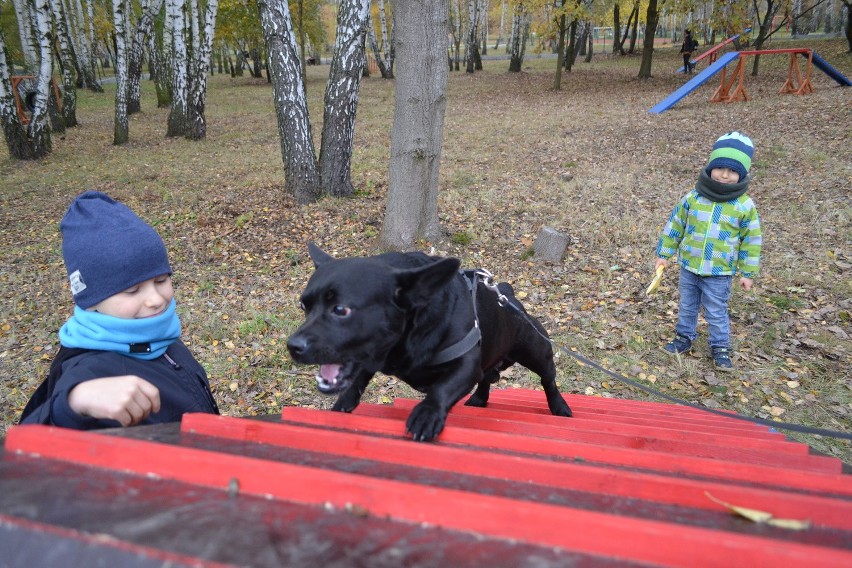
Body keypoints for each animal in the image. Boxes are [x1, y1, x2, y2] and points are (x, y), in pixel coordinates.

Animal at [286, 242, 572, 442]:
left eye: (341, 310)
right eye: (303, 306)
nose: (293, 346)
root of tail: (508, 294)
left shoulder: (465, 364)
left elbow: (442, 388)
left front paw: (426, 414)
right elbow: (356, 382)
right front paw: (342, 406)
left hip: (537, 352)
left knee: (548, 380)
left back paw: (559, 406)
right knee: (486, 378)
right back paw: (479, 399)